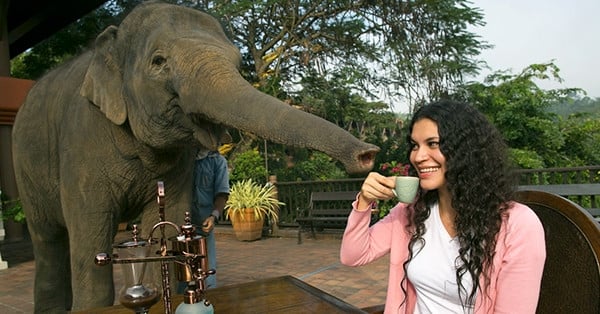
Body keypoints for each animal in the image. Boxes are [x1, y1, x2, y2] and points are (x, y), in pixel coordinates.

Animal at [10, 1, 380, 312]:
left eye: (237, 62)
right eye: (158, 62)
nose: (368, 154)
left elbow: (164, 224)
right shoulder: (82, 139)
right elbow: (91, 234)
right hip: (25, 169)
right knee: (48, 244)